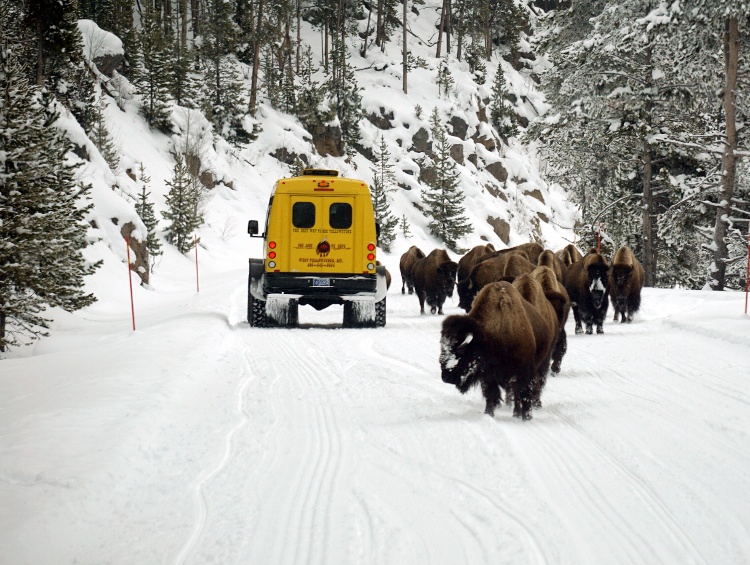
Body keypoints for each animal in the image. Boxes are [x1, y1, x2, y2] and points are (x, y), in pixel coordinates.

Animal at [440, 280, 560, 416]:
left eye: (461, 349)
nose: (446, 377)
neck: (488, 336)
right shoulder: (488, 376)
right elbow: (491, 395)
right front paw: (488, 413)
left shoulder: (523, 372)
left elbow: (524, 394)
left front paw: (526, 417)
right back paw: (516, 412)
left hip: (542, 363)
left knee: (536, 385)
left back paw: (529, 408)